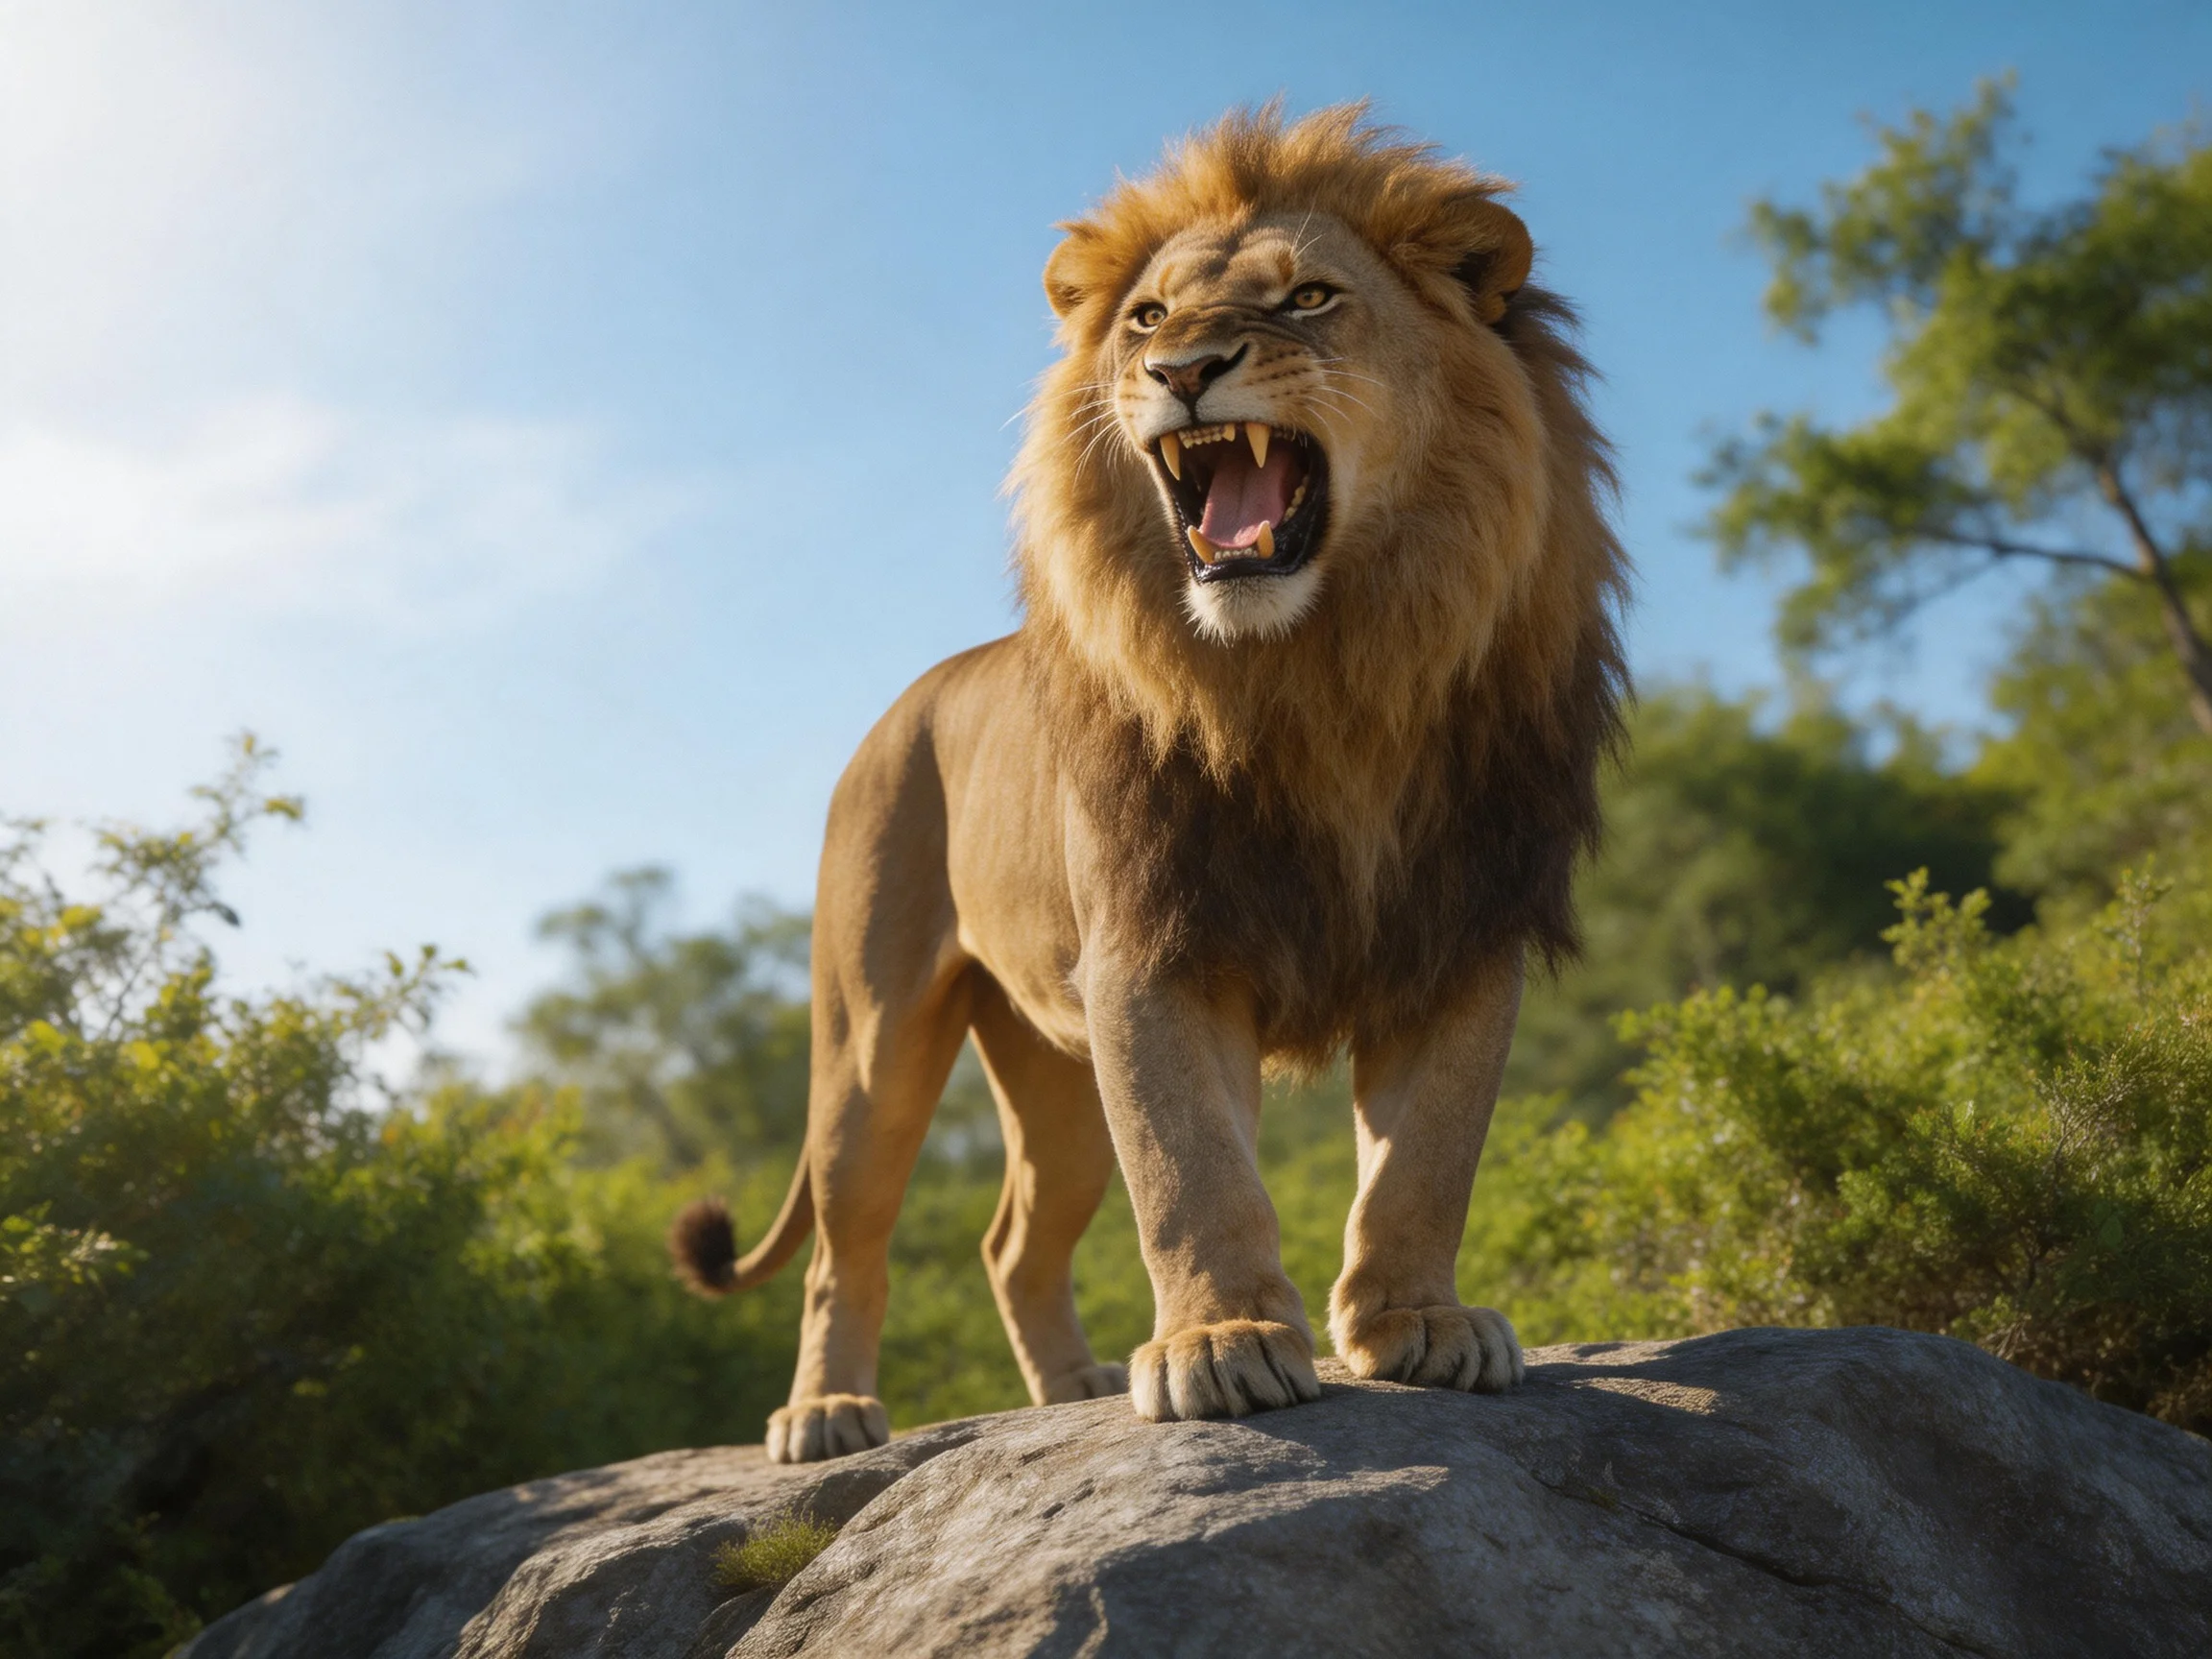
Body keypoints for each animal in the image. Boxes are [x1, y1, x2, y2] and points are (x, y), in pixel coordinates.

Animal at [670, 103, 1627, 1464]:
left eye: (1310, 296)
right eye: (1147, 318)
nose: (1183, 371)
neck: (1323, 673)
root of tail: (910, 698)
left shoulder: (1461, 929)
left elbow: (1426, 1160)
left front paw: (1419, 1323)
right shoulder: (1155, 946)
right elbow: (1191, 1170)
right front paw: (1220, 1345)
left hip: (1055, 1074)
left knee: (1013, 1239)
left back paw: (1067, 1386)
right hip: (868, 1041)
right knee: (842, 1248)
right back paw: (828, 1413)